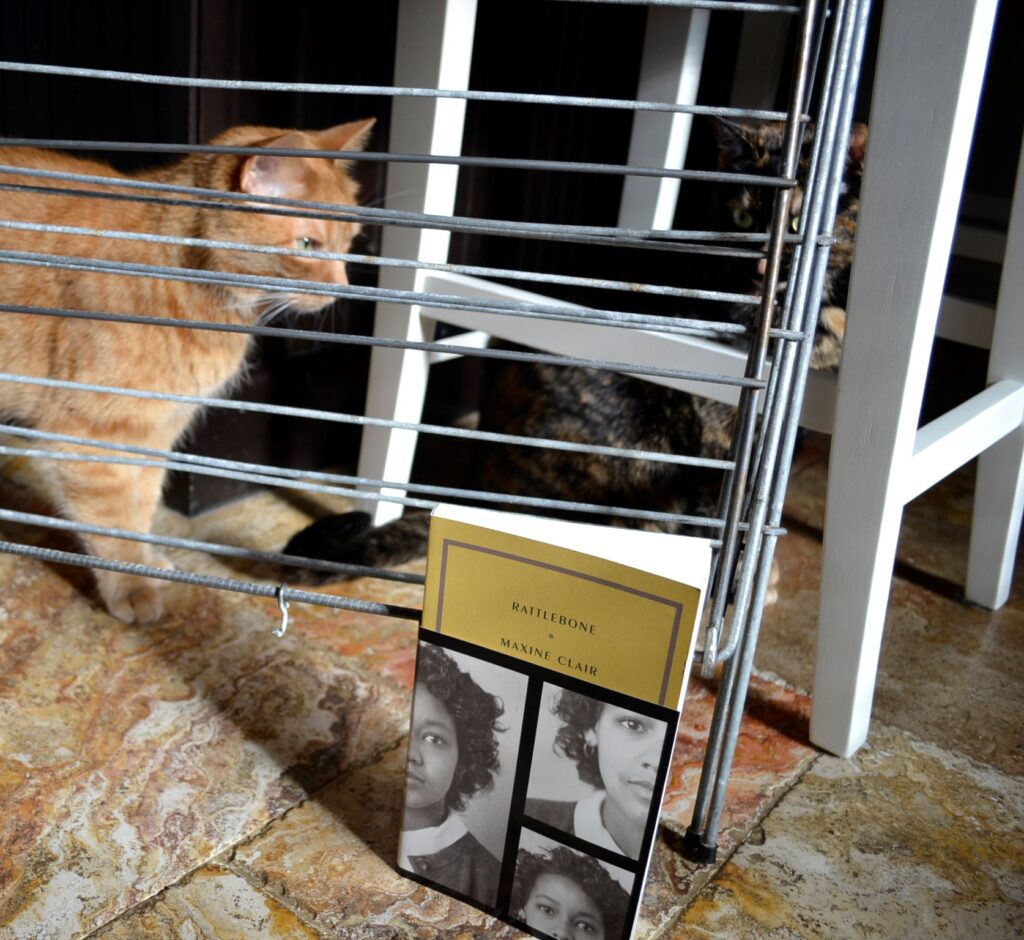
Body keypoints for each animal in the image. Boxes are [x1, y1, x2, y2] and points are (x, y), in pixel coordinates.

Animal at [0, 121, 376, 630]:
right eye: (307, 246)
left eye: (348, 243)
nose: (341, 290)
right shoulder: (89, 433)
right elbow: (112, 521)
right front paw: (131, 585)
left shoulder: (155, 429)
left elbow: (140, 506)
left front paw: (148, 565)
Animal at [280, 119, 864, 573]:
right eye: (742, 219)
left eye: (798, 223)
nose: (763, 271)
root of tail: (487, 487)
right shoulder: (718, 424)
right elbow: (723, 508)